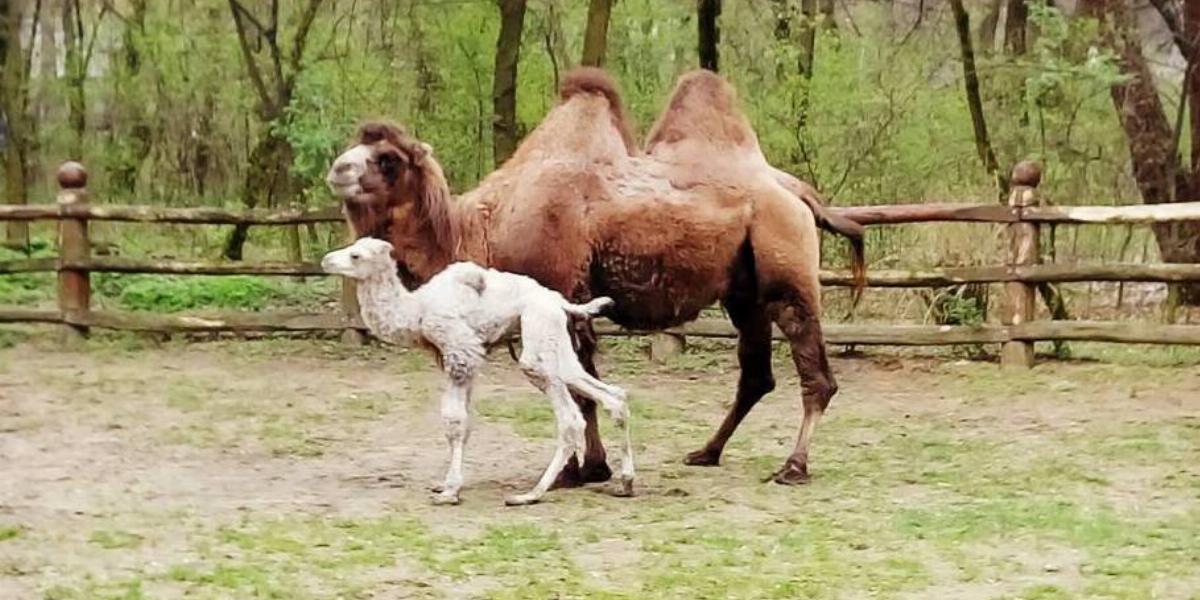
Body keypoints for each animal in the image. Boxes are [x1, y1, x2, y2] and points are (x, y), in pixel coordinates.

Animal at [319, 236, 638, 504]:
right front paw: (446, 483)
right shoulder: (466, 358)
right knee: (612, 395)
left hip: (536, 341)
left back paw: (530, 494)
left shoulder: (460, 350)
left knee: (570, 418)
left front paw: (450, 491)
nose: (326, 260)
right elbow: (464, 422)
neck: (416, 310)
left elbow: (454, 422)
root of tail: (560, 302)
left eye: (356, 255)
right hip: (555, 339)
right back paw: (626, 483)